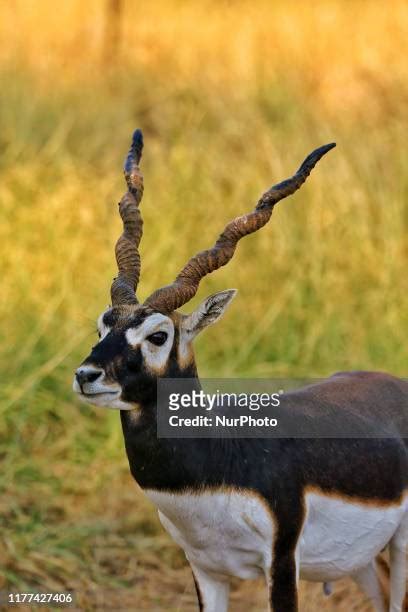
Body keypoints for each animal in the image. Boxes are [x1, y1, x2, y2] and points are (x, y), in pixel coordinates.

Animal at [74, 131, 408, 608]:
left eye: (158, 335)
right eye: (104, 324)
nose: (86, 376)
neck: (219, 459)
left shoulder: (282, 562)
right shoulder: (205, 569)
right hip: (363, 561)